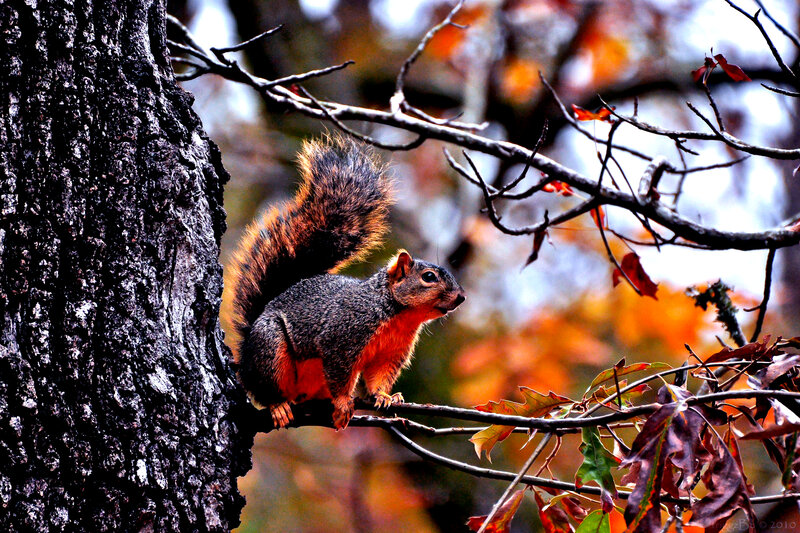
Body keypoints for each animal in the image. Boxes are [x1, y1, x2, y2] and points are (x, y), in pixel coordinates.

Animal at [227, 135, 465, 430]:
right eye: (429, 277)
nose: (461, 297)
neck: (398, 315)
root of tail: (246, 350)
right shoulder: (342, 337)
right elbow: (340, 374)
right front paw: (342, 402)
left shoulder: (390, 353)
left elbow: (379, 377)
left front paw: (385, 396)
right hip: (269, 347)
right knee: (265, 387)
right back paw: (279, 405)